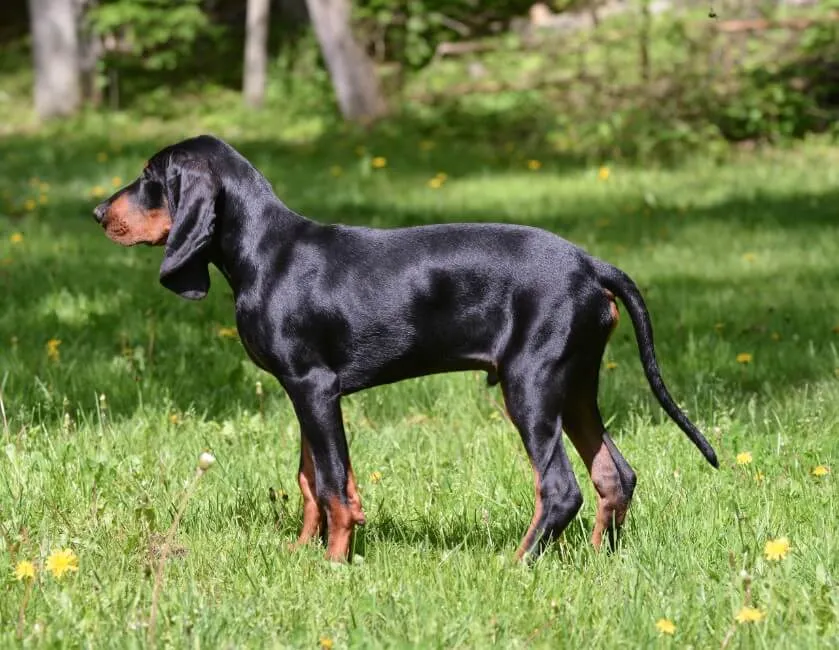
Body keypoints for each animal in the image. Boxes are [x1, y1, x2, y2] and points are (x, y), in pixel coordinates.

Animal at [93, 134, 720, 560]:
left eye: (151, 176)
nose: (98, 213)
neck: (267, 252)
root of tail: (591, 264)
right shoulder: (301, 390)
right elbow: (311, 481)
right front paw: (301, 554)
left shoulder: (315, 386)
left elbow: (333, 484)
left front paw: (334, 563)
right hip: (576, 384)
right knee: (615, 476)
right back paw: (592, 562)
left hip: (532, 384)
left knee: (561, 488)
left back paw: (516, 565)